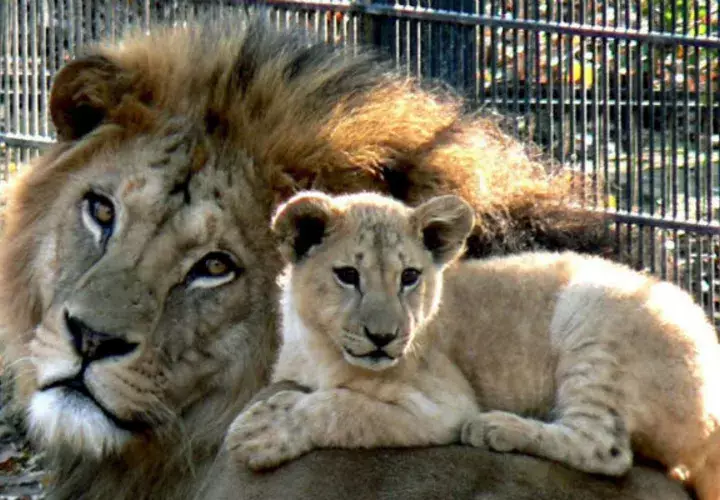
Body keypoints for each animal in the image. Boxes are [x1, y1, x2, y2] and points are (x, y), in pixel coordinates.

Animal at [228, 191, 720, 500]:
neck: (317, 343)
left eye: (410, 276)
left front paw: (262, 430)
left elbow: (342, 406)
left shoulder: (443, 405)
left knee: (606, 449)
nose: (383, 338)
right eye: (347, 274)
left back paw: (498, 427)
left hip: (594, 310)